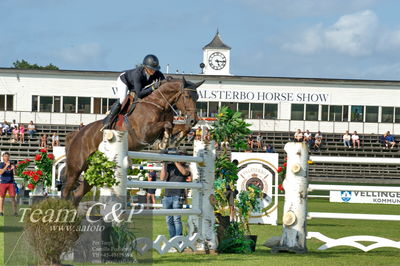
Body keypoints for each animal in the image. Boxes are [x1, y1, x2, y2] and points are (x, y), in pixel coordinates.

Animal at [63, 77, 205, 206]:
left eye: (197, 98)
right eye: (187, 96)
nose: (194, 120)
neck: (159, 104)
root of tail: (75, 135)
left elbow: (179, 127)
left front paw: (174, 139)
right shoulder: (144, 132)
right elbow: (167, 125)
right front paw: (163, 142)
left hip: (94, 171)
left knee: (77, 194)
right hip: (76, 167)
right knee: (66, 189)